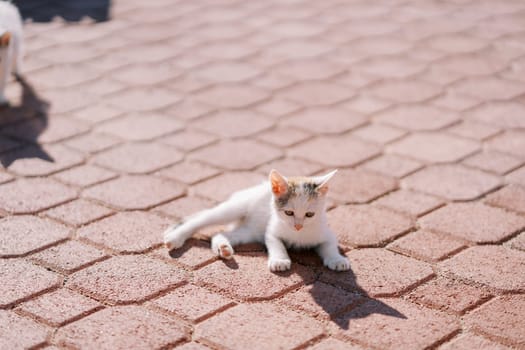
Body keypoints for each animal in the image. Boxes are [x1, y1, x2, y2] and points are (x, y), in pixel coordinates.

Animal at [164, 168, 350, 272]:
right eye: (288, 213)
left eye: (310, 214)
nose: (298, 226)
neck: (299, 235)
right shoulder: (272, 231)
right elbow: (276, 243)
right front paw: (279, 260)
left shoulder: (326, 232)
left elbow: (329, 246)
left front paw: (337, 260)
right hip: (234, 208)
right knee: (200, 219)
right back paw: (175, 238)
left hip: (249, 232)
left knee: (221, 234)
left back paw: (223, 248)